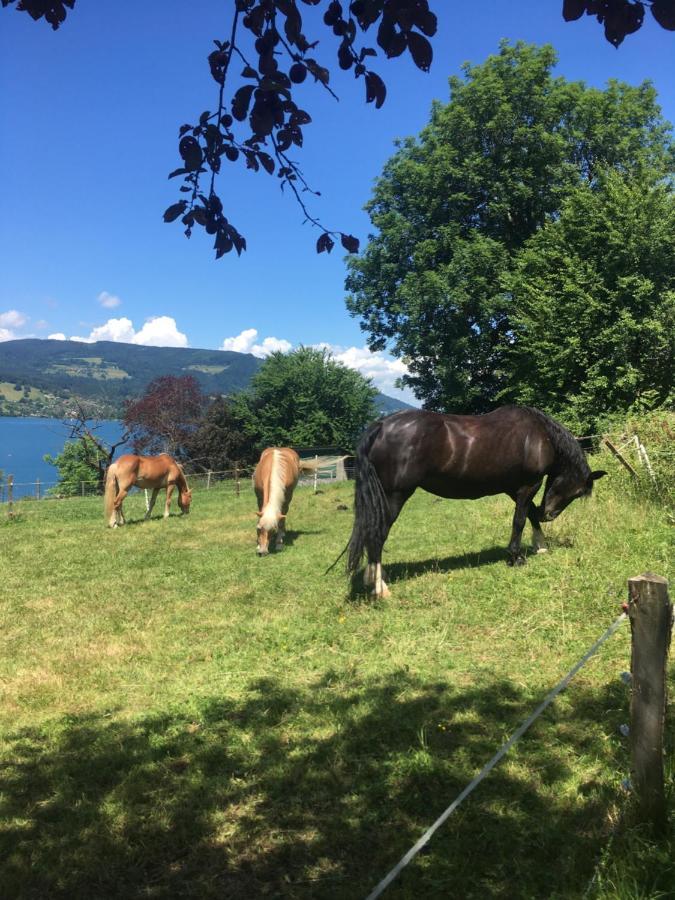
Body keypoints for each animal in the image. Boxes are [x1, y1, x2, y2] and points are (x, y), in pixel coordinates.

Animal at [348, 410, 608, 596]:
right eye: (577, 492)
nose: (550, 515)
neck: (539, 435)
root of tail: (381, 426)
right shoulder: (528, 485)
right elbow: (519, 521)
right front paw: (515, 557)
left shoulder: (514, 489)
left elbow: (530, 514)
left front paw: (541, 546)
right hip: (394, 497)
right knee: (377, 535)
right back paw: (380, 588)